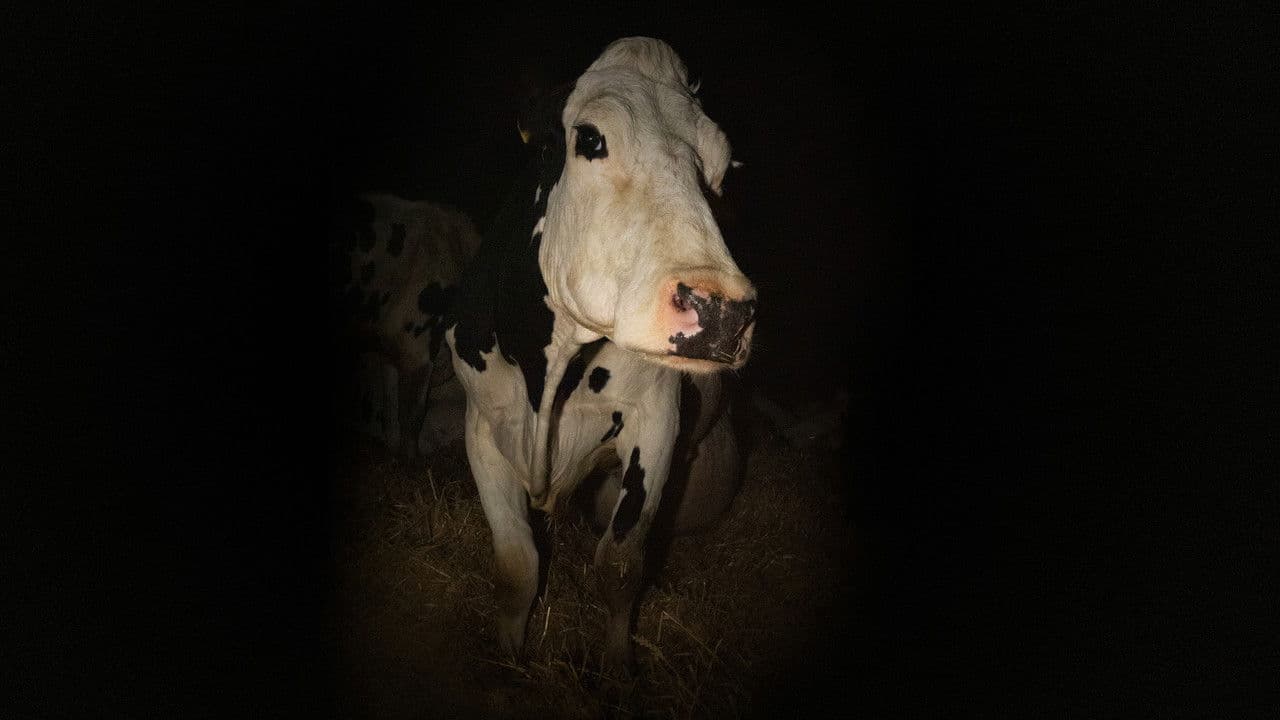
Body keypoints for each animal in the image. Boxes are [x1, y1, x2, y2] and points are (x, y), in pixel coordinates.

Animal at [332, 193, 481, 458]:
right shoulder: (418, 341)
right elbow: (412, 413)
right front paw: (412, 459)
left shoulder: (389, 347)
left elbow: (391, 406)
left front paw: (394, 452)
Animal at [444, 37, 757, 674]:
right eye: (590, 138)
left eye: (720, 166)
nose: (723, 312)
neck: (548, 376)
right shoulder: (482, 425)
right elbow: (517, 565)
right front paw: (510, 659)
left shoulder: (655, 420)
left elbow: (618, 564)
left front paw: (616, 670)